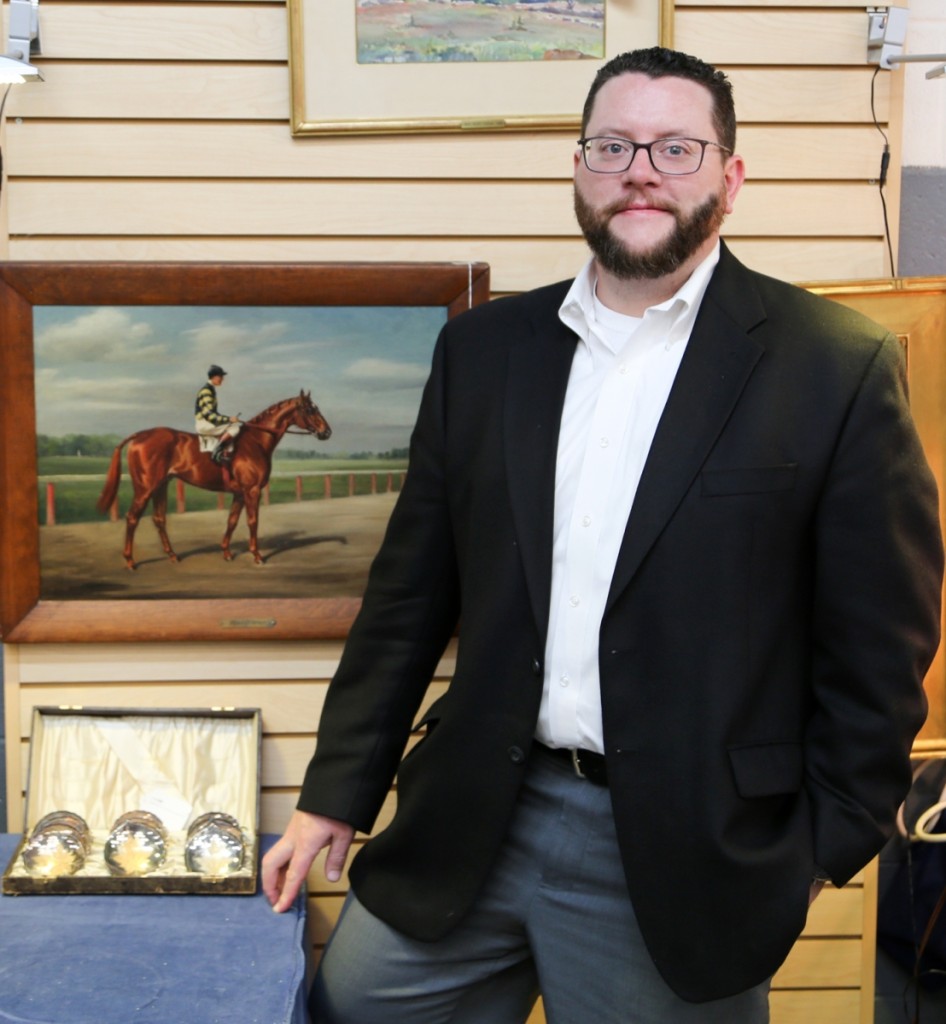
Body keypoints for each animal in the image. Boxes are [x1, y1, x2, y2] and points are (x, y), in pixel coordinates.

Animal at [96, 389, 331, 569]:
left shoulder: (239, 493)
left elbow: (232, 521)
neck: (255, 442)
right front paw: (257, 556)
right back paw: (130, 561)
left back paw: (172, 555)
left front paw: (226, 552)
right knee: (132, 518)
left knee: (159, 519)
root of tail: (140, 435)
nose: (326, 432)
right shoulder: (252, 491)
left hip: (161, 486)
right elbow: (252, 522)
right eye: (310, 409)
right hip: (144, 488)